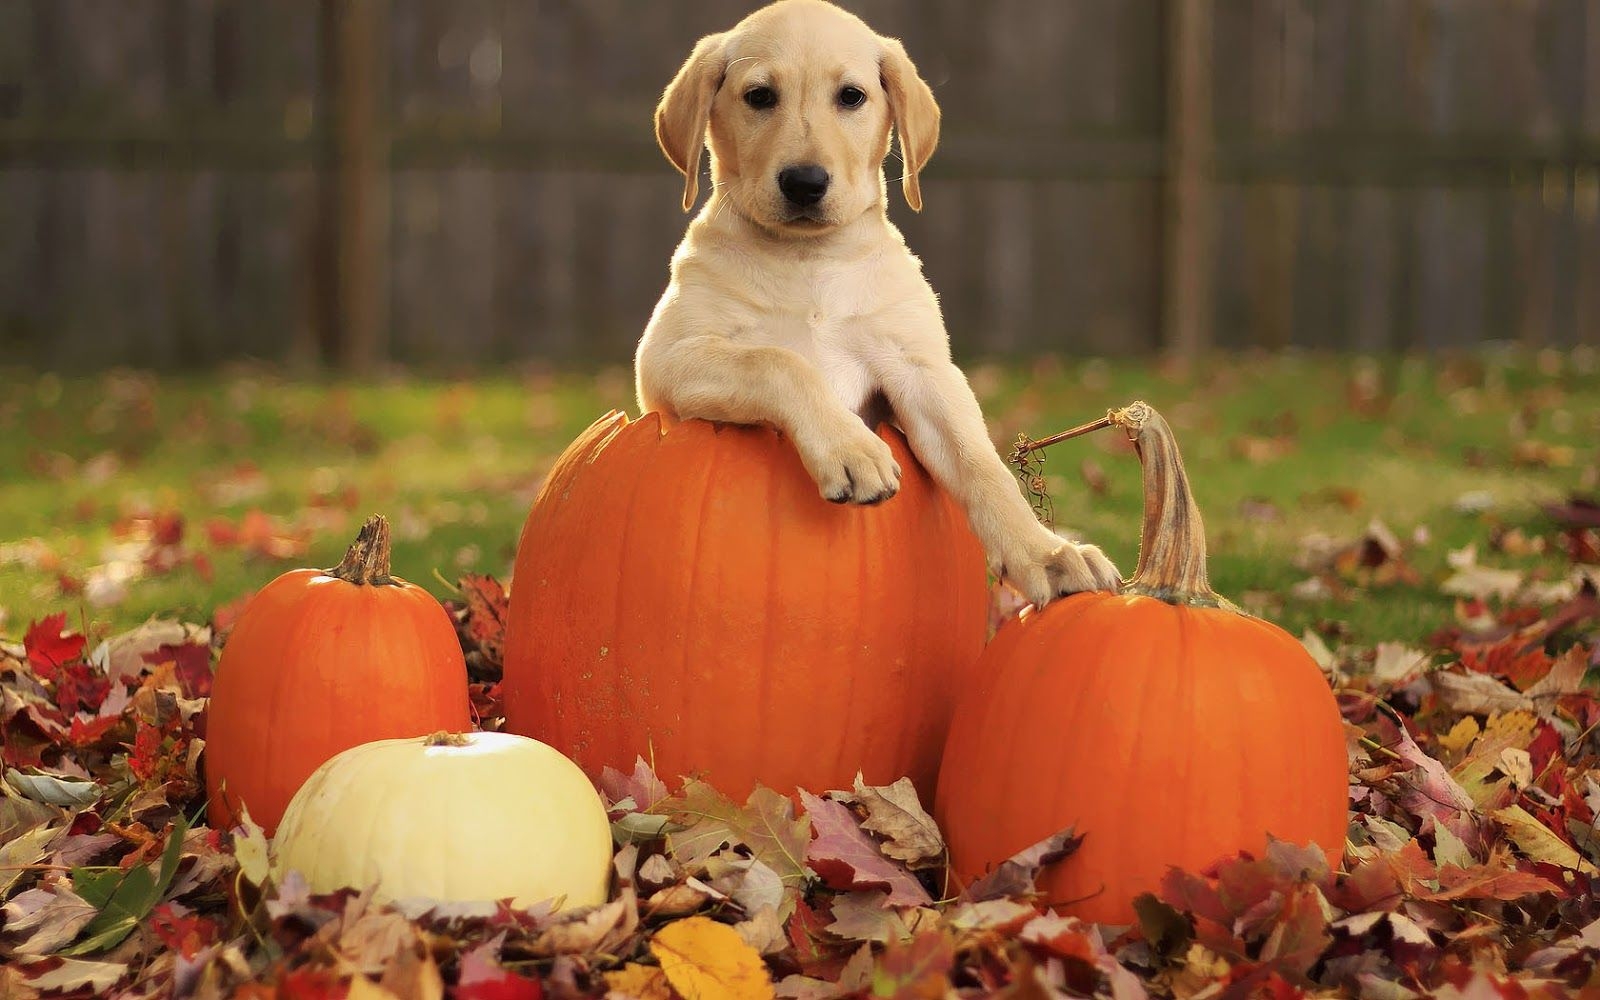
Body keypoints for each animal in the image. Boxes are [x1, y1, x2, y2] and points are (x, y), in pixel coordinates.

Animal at [630, 0, 1120, 604]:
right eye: (760, 96)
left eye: (851, 96)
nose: (805, 183)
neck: (809, 261)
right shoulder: (668, 359)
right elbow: (777, 360)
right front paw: (852, 450)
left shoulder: (920, 370)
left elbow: (979, 461)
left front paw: (1046, 553)